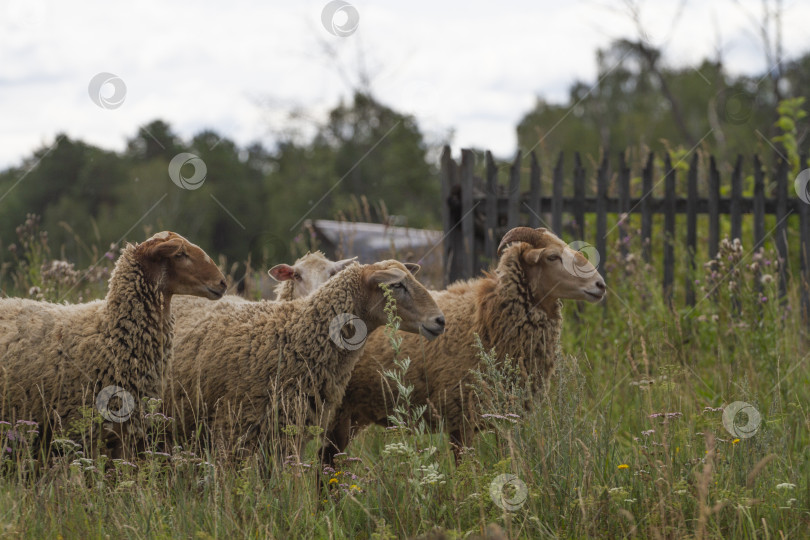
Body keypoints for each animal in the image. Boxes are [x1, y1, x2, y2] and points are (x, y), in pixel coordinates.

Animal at [326, 226, 604, 462]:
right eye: (552, 257)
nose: (600, 284)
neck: (485, 318)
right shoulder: (460, 417)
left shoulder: (506, 419)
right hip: (338, 413)